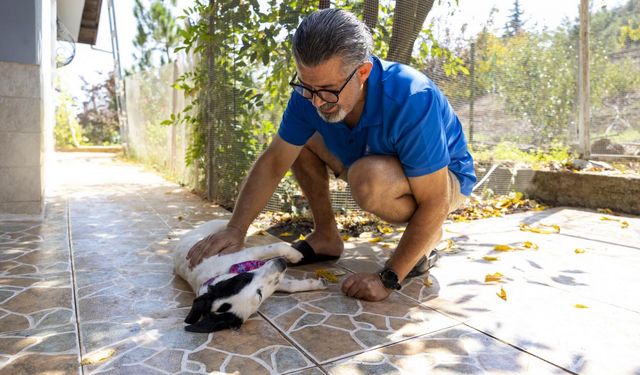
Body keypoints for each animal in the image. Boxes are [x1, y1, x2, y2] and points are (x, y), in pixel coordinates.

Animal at [174, 220, 328, 332]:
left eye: (243, 278)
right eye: (259, 295)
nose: (281, 263)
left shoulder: (250, 254)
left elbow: (275, 247)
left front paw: (296, 255)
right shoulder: (271, 279)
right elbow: (288, 284)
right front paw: (317, 283)